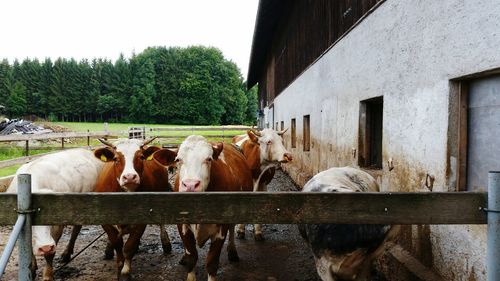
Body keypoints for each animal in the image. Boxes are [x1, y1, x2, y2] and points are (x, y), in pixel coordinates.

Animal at [5, 148, 105, 278]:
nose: (45, 247)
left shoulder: (57, 226)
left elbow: (50, 255)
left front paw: (47, 276)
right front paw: (32, 268)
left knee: (76, 229)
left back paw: (66, 254)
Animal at [93, 138, 177, 280]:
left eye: (141, 157)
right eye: (115, 158)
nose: (130, 177)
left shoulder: (141, 221)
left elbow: (129, 247)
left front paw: (125, 272)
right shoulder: (105, 221)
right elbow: (117, 244)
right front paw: (119, 265)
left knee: (161, 223)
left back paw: (166, 243)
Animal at [152, 135, 254, 278]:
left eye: (209, 159)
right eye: (178, 159)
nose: (190, 185)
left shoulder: (221, 229)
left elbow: (212, 263)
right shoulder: (182, 226)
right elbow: (192, 258)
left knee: (232, 228)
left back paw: (232, 251)